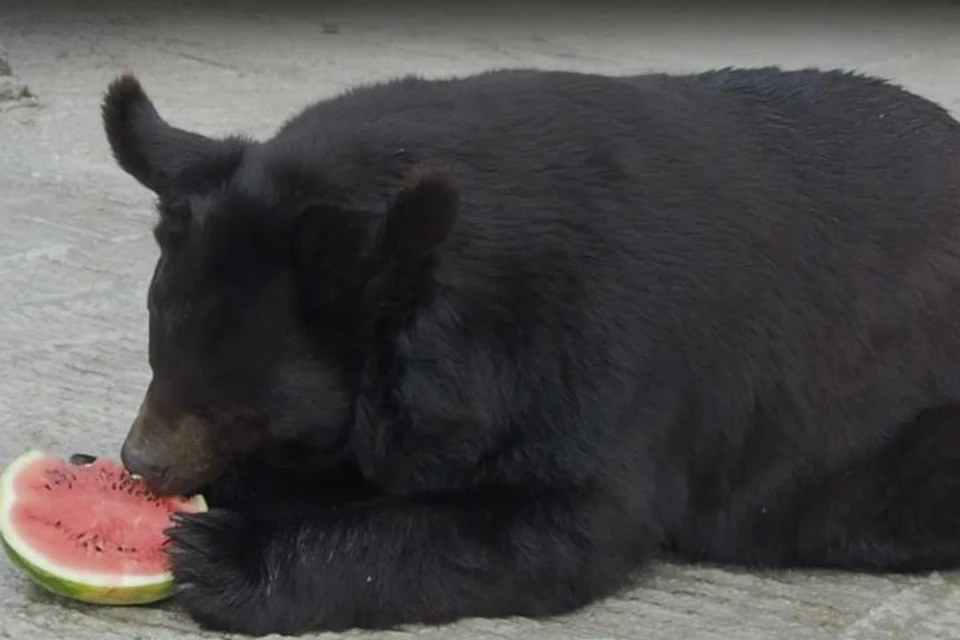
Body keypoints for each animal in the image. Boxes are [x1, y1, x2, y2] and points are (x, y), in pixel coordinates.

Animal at [103, 65, 960, 636]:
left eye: (241, 407)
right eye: (155, 353)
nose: (141, 463)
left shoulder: (604, 353)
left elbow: (555, 525)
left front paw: (224, 553)